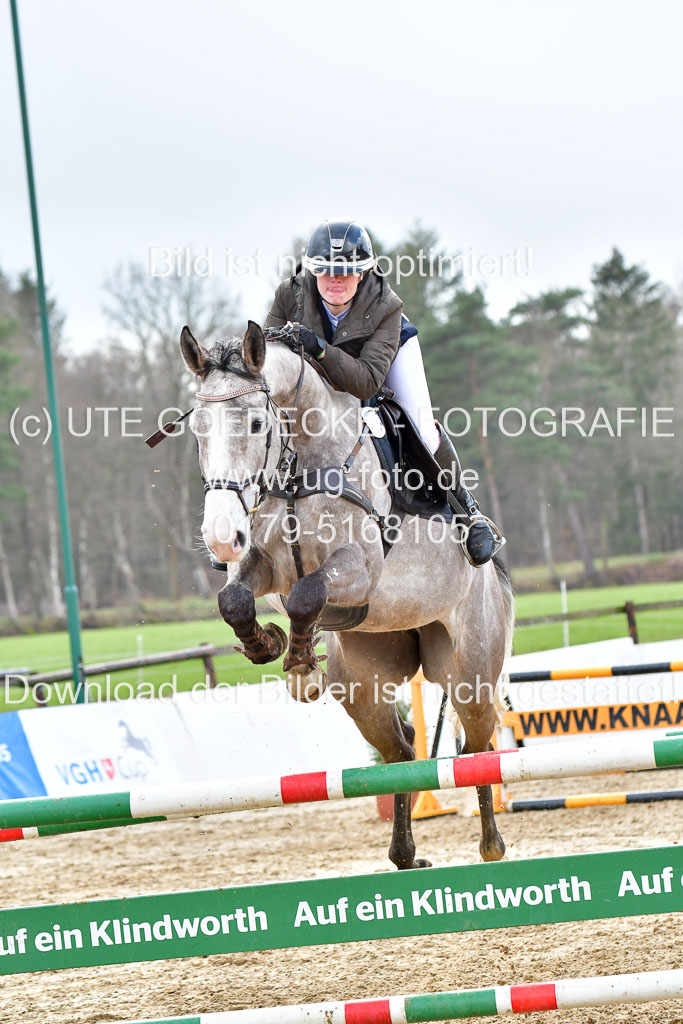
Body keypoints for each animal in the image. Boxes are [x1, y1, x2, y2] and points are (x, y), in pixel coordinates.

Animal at [180, 321, 511, 872]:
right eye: (197, 430)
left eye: (255, 423)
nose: (222, 536)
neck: (300, 462)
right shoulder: (262, 565)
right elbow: (236, 602)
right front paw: (272, 646)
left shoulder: (359, 569)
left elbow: (308, 593)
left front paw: (298, 660)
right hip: (362, 680)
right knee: (400, 754)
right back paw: (405, 854)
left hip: (470, 670)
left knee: (478, 744)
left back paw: (491, 845)